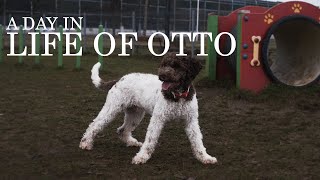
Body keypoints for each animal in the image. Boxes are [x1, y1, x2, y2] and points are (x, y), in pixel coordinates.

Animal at [79, 53, 218, 165]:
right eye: (163, 64)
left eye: (177, 65)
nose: (161, 76)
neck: (177, 96)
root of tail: (120, 79)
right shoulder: (158, 119)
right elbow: (150, 140)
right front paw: (141, 157)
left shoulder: (191, 121)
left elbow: (197, 141)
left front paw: (205, 158)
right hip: (112, 109)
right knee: (94, 125)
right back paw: (85, 143)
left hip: (135, 114)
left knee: (122, 130)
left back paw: (132, 142)